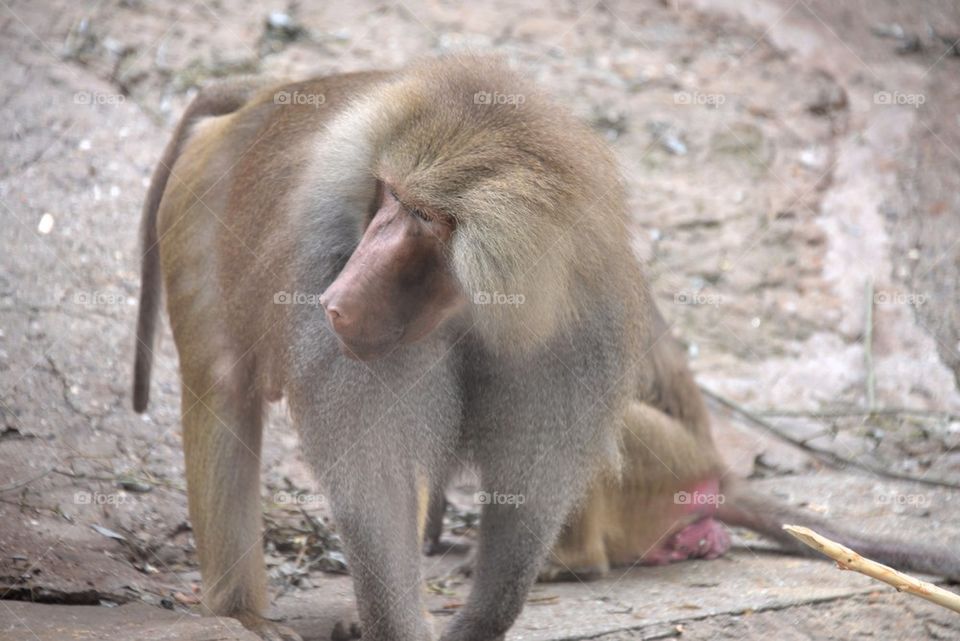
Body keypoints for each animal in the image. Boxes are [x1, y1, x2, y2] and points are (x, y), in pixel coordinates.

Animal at [134, 56, 647, 641]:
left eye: (423, 216)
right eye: (388, 194)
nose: (333, 303)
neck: (477, 310)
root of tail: (267, 96)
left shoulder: (569, 333)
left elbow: (527, 495)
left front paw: (475, 624)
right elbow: (377, 494)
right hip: (197, 202)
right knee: (221, 387)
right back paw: (240, 612)